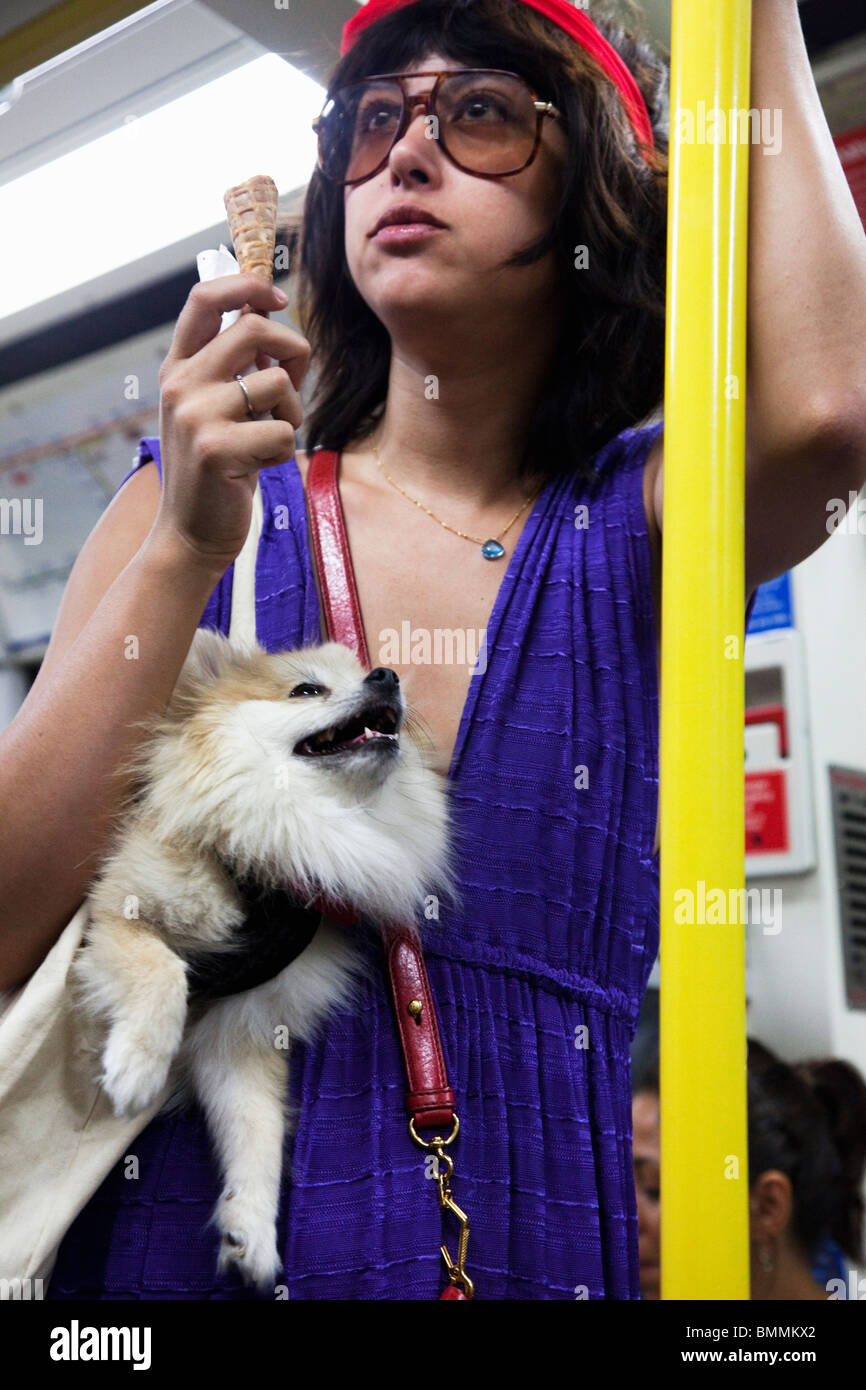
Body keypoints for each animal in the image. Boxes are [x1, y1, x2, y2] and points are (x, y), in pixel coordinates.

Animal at [72, 631, 461, 1289]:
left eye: (367, 672)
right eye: (307, 690)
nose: (386, 676)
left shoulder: (239, 1031)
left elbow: (256, 1128)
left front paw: (249, 1229)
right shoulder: (118, 916)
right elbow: (162, 973)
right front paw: (138, 1065)